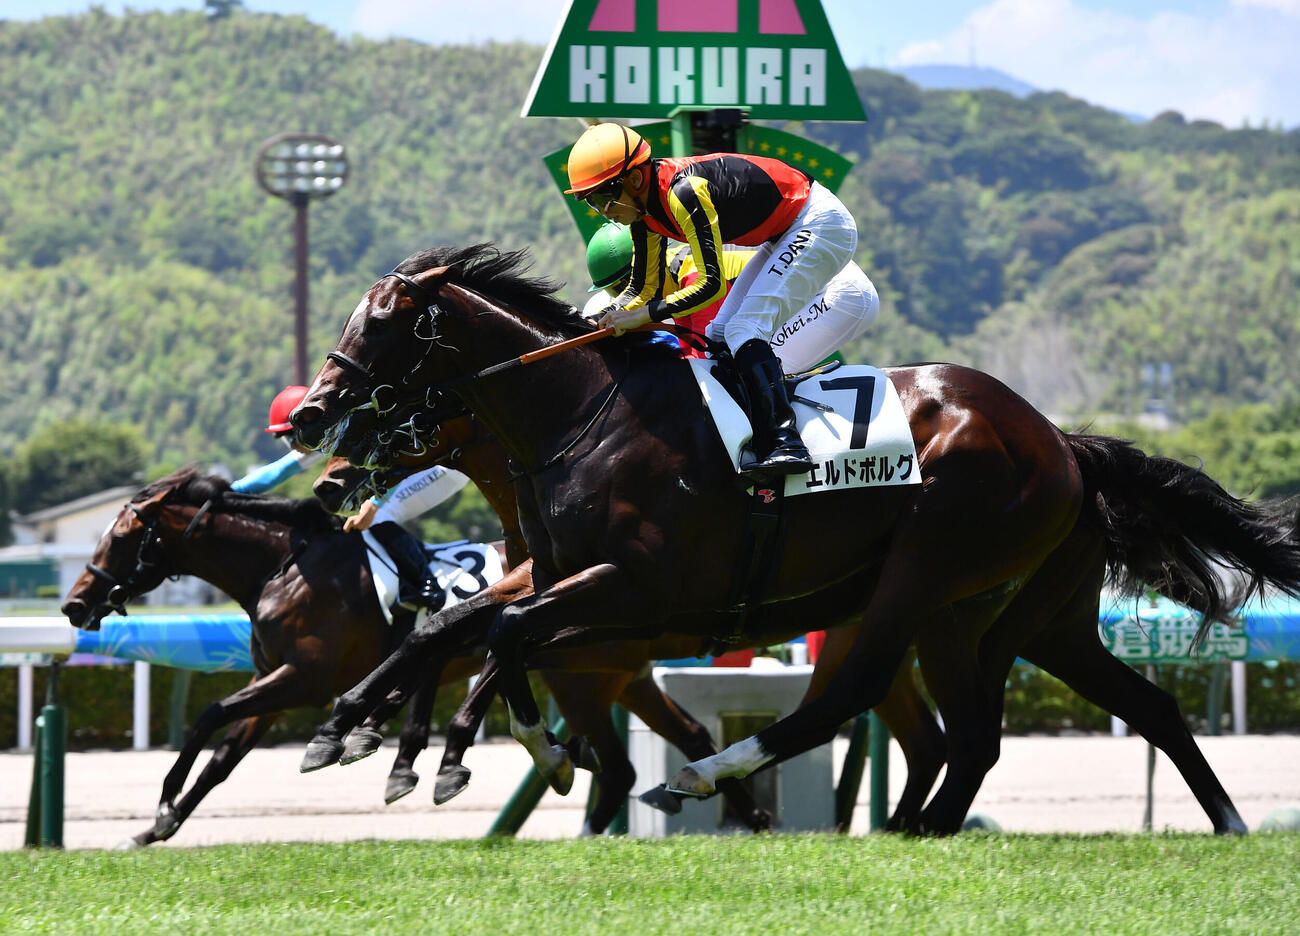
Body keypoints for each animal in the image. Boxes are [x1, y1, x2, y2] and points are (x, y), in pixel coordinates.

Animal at [291, 243, 1300, 834]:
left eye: (382, 325)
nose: (313, 426)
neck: (584, 417)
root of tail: (1061, 441)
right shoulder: (570, 583)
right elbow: (452, 630)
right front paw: (348, 731)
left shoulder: (634, 588)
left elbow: (501, 638)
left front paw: (483, 754)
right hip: (1016, 616)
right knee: (1062, 720)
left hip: (929, 573)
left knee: (864, 698)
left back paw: (710, 780)